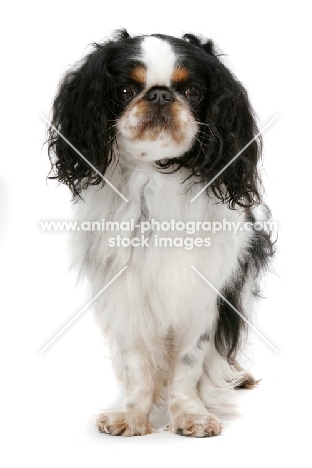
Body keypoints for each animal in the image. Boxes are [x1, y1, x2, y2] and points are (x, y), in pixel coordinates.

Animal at [46, 29, 272, 436]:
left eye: (193, 91)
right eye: (124, 90)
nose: (161, 95)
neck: (154, 174)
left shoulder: (203, 292)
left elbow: (190, 361)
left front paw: (190, 415)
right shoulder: (125, 291)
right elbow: (135, 360)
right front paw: (132, 416)